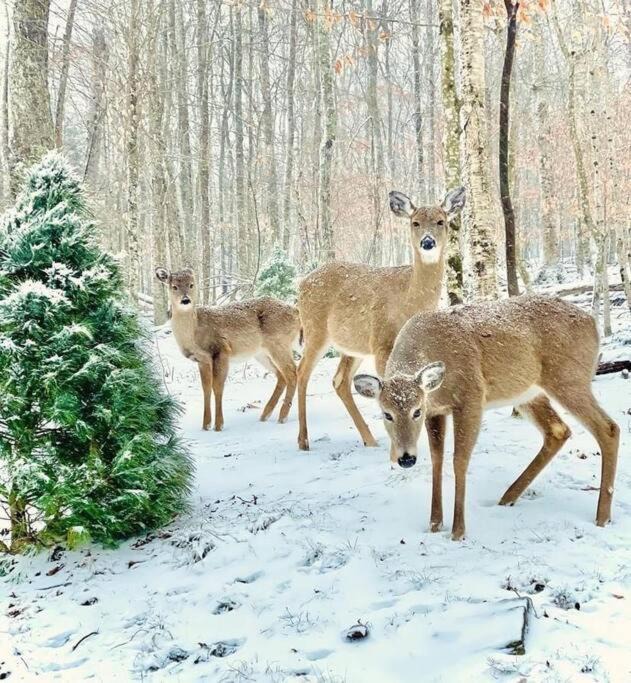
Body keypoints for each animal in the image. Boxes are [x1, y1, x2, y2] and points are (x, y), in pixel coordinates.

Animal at [155, 267, 301, 431]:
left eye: (191, 284)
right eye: (174, 286)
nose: (185, 300)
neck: (194, 332)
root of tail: (296, 311)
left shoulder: (221, 350)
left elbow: (217, 387)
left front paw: (219, 425)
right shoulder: (202, 359)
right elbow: (206, 388)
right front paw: (205, 425)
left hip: (279, 342)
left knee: (292, 372)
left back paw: (282, 416)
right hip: (262, 352)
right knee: (281, 375)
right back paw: (265, 415)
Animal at [296, 186, 466, 451]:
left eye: (441, 221)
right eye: (415, 222)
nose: (428, 242)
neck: (409, 298)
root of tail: (302, 283)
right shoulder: (382, 342)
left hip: (353, 346)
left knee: (339, 380)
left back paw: (369, 439)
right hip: (316, 330)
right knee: (301, 373)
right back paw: (303, 440)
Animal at [353, 294, 620, 540]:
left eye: (416, 411)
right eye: (386, 414)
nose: (406, 459)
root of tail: (592, 322)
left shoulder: (470, 397)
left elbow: (459, 460)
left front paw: (458, 531)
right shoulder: (437, 411)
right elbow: (437, 460)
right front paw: (434, 524)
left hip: (569, 378)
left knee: (609, 428)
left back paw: (602, 517)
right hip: (529, 393)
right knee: (558, 430)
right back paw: (507, 497)